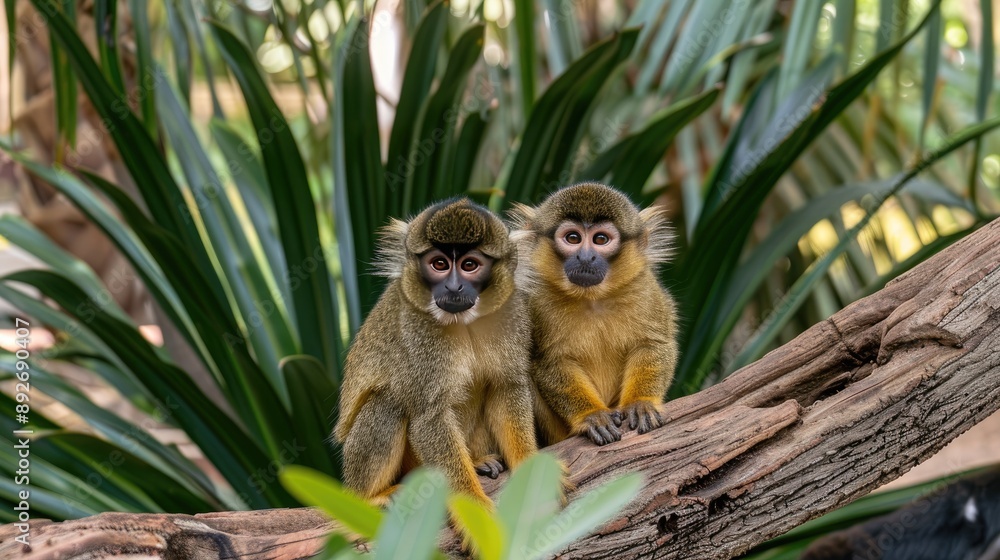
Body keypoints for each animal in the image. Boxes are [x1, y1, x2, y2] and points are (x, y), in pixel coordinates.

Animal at [333, 198, 537, 507]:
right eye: (439, 264)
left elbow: (506, 389)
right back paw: (370, 497)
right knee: (389, 402)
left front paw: (536, 477)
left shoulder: (511, 310)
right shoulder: (419, 329)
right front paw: (475, 509)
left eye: (469, 265)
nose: (453, 286)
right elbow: (430, 417)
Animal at [511, 183, 678, 446]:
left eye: (600, 239)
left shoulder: (644, 287)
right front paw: (592, 415)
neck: (592, 300)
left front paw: (640, 403)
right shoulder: (535, 297)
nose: (586, 257)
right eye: (573, 238)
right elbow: (548, 361)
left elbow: (653, 344)